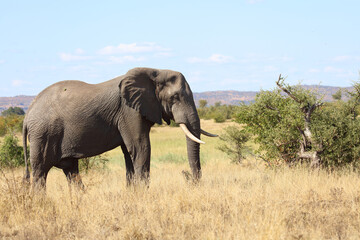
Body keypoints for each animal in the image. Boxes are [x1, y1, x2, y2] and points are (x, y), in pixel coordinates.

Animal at [23, 67, 218, 189]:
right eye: (175, 97)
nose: (192, 182)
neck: (154, 71)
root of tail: (27, 115)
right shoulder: (128, 110)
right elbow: (140, 147)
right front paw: (143, 194)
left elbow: (129, 152)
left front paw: (133, 194)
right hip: (43, 134)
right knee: (40, 171)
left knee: (71, 170)